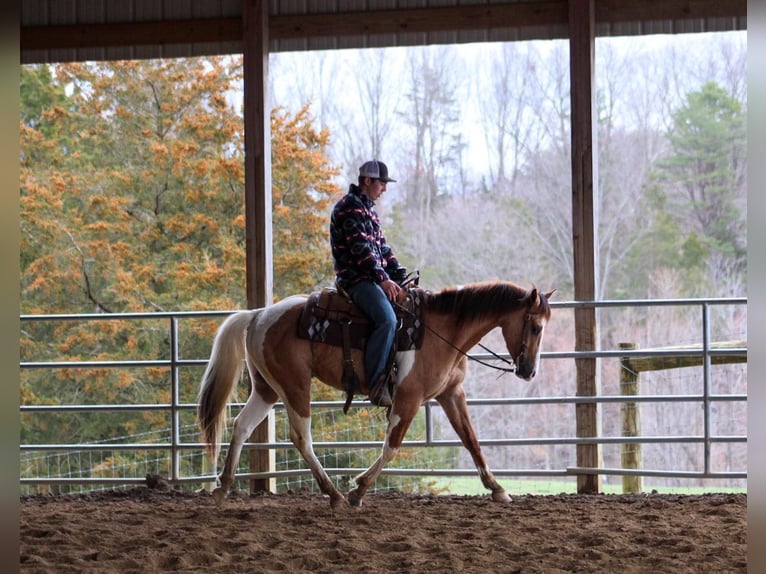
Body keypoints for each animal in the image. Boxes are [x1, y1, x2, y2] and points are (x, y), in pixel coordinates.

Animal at [198, 282, 556, 510]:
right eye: (536, 327)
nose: (528, 371)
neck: (444, 333)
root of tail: (258, 315)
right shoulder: (409, 398)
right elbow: (392, 446)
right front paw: (359, 490)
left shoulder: (451, 394)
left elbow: (472, 441)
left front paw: (497, 489)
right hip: (294, 386)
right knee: (301, 438)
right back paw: (334, 495)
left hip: (267, 389)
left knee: (242, 426)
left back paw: (223, 488)